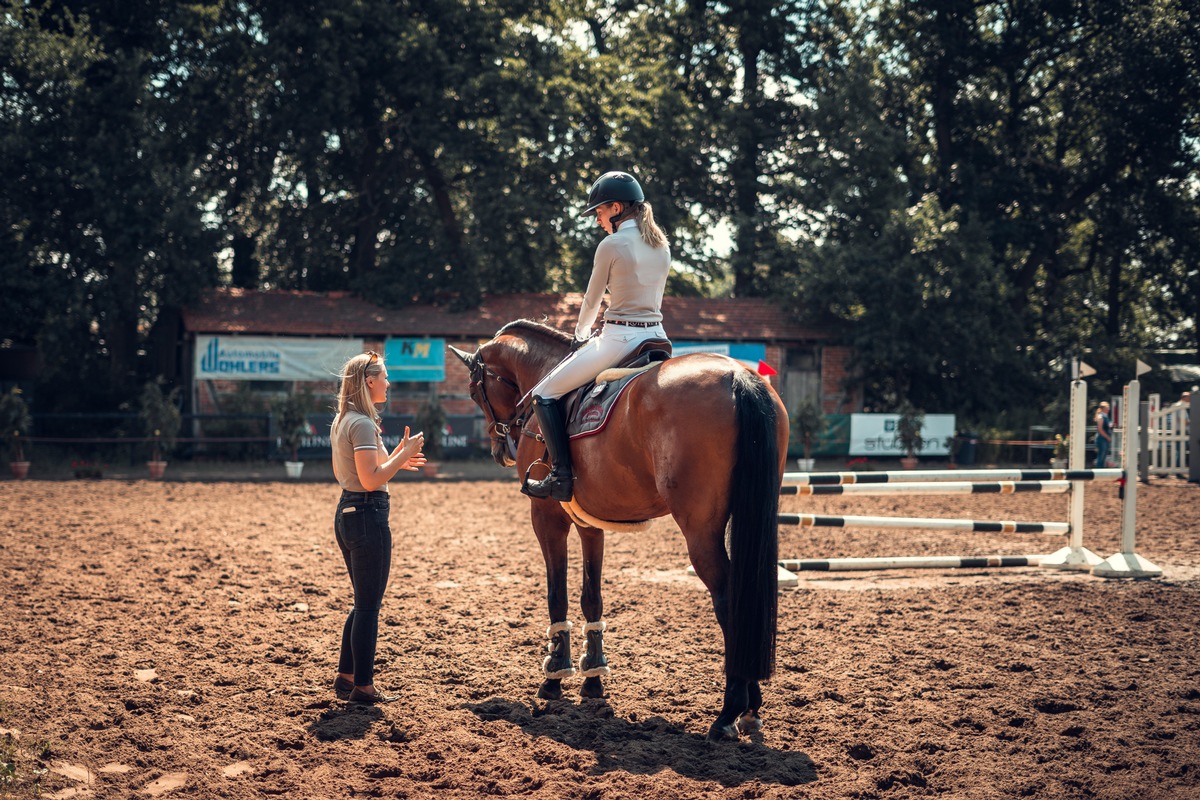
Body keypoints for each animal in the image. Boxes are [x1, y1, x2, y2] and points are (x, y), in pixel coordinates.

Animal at [451, 321, 787, 743]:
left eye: (473, 391)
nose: (502, 451)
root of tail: (738, 375)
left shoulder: (546, 517)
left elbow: (557, 595)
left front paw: (554, 675)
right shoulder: (591, 523)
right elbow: (591, 598)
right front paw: (592, 678)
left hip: (700, 528)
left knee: (729, 598)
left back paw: (727, 714)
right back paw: (751, 710)